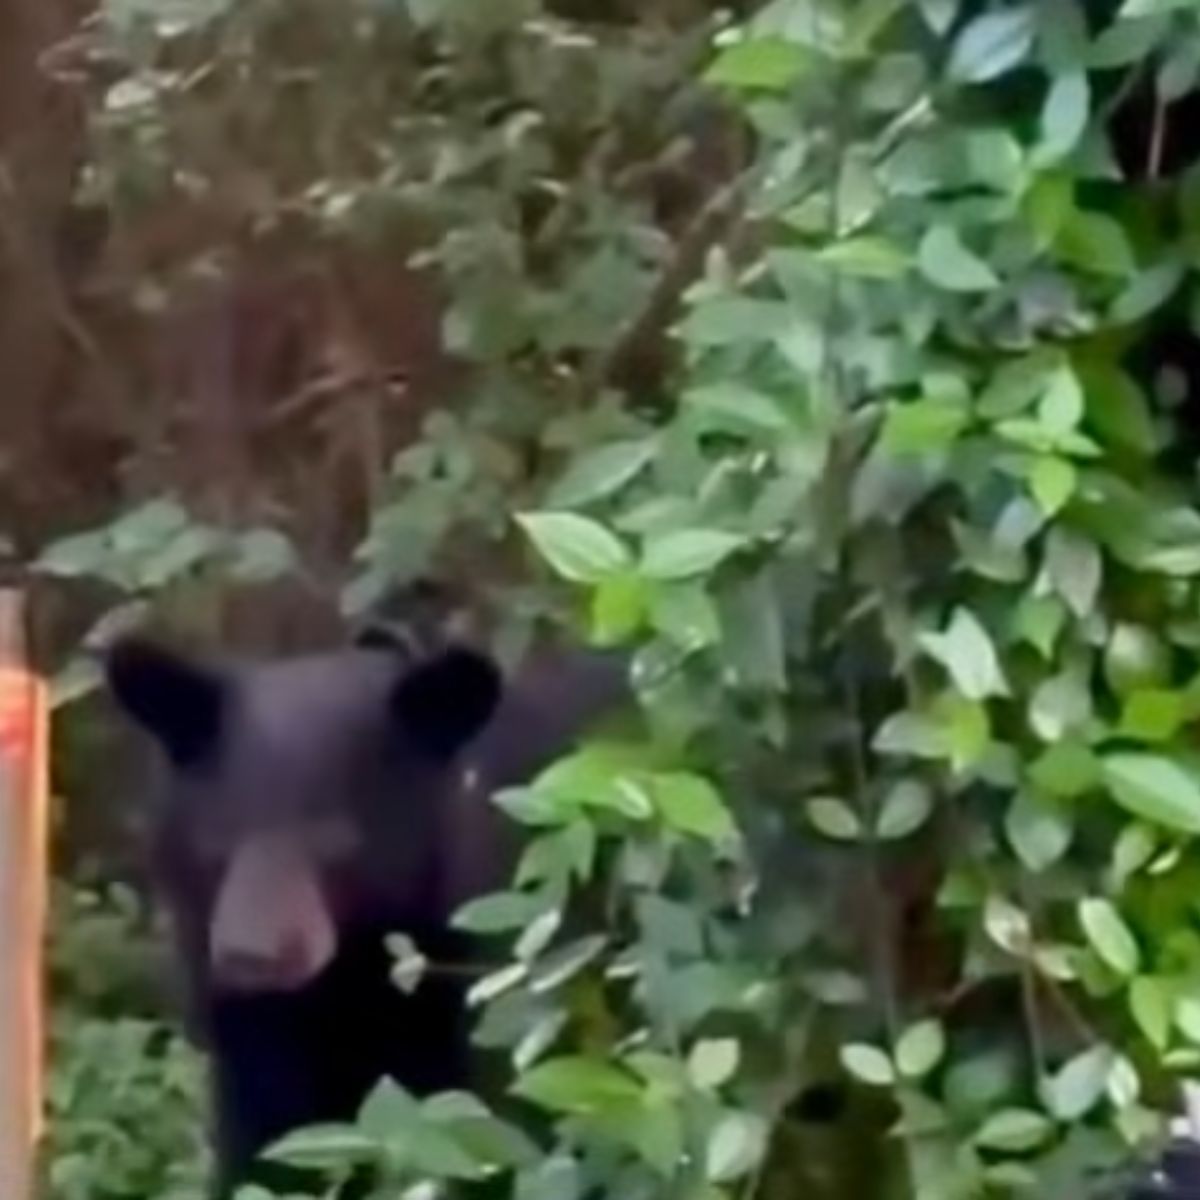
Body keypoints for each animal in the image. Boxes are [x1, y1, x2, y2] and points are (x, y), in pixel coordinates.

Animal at [102, 629, 628, 1198]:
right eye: (216, 841)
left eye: (334, 842)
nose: (252, 956)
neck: (348, 982)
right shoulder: (250, 1034)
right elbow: (267, 1149)